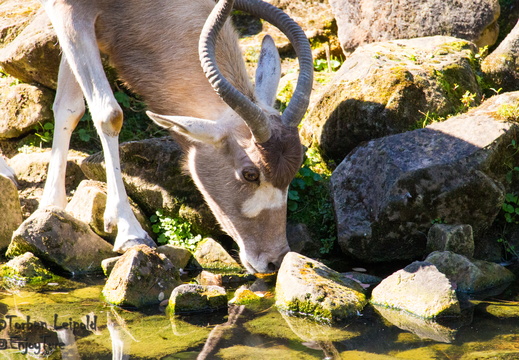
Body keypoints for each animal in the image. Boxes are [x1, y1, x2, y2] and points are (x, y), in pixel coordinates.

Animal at [38, 0, 312, 272]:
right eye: (250, 174)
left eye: (294, 170)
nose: (274, 260)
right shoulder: (69, 10)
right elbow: (109, 114)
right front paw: (130, 232)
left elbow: (69, 107)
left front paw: (50, 205)